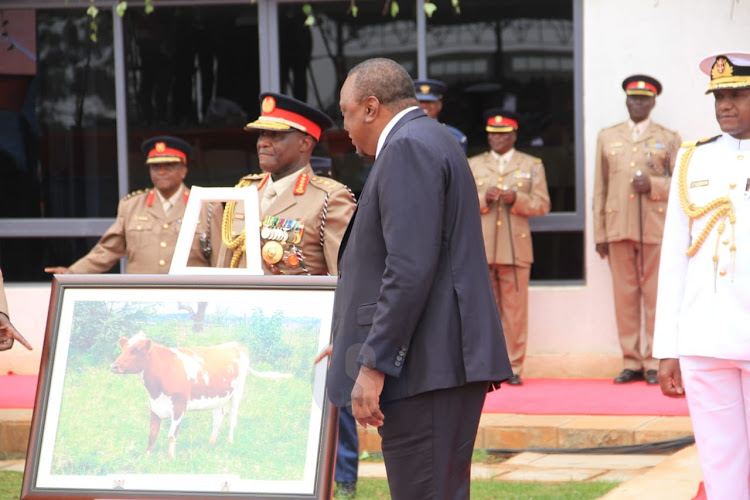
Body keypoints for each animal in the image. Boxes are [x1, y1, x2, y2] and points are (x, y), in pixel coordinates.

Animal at [110, 332, 290, 458]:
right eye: (124, 348)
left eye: (135, 350)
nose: (114, 366)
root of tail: (236, 345)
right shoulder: (155, 405)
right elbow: (152, 434)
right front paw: (147, 456)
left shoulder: (180, 405)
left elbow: (171, 435)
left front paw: (170, 457)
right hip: (218, 397)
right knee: (219, 418)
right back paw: (211, 444)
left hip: (237, 392)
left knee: (232, 418)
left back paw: (229, 442)